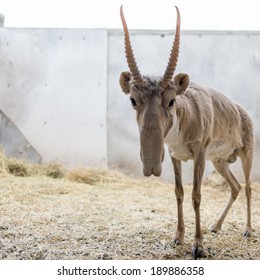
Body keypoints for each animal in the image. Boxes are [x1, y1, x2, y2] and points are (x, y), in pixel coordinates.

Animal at [119, 5, 254, 260]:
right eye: (132, 100)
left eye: (172, 100)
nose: (151, 167)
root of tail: (242, 111)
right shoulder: (175, 156)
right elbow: (179, 192)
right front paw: (178, 238)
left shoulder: (199, 153)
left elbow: (196, 196)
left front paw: (198, 246)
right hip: (220, 161)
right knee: (235, 186)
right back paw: (216, 226)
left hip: (245, 154)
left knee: (249, 187)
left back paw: (248, 230)